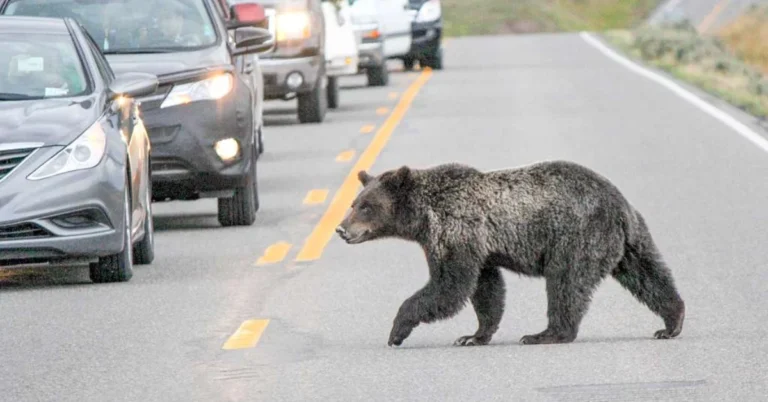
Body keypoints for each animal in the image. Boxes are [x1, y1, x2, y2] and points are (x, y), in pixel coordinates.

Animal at [335, 160, 686, 347]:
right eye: (354, 203)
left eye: (366, 206)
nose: (341, 229)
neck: (422, 218)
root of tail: (618, 204)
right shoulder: (480, 249)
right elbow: (485, 289)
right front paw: (473, 336)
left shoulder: (456, 232)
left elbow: (448, 286)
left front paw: (397, 331)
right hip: (629, 242)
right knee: (648, 275)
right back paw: (671, 323)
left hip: (576, 237)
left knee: (565, 283)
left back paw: (545, 333)